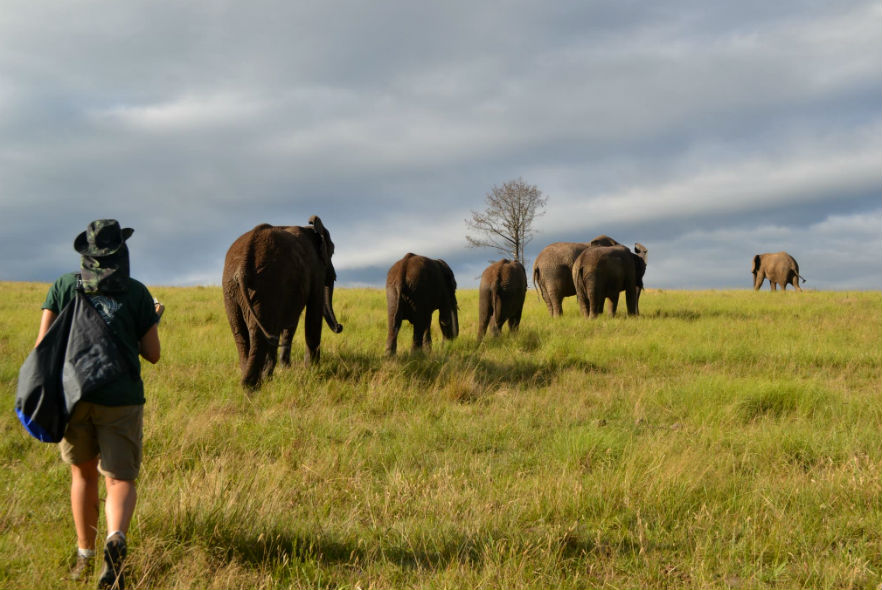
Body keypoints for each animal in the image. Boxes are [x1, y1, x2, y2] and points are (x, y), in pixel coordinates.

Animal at [222, 215, 342, 390]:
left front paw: (286, 369)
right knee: (259, 333)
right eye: (332, 251)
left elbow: (289, 323)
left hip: (231, 291)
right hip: (266, 286)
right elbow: (313, 313)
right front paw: (313, 371)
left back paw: (252, 382)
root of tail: (243, 264)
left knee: (241, 332)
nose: (340, 327)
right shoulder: (316, 269)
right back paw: (253, 387)